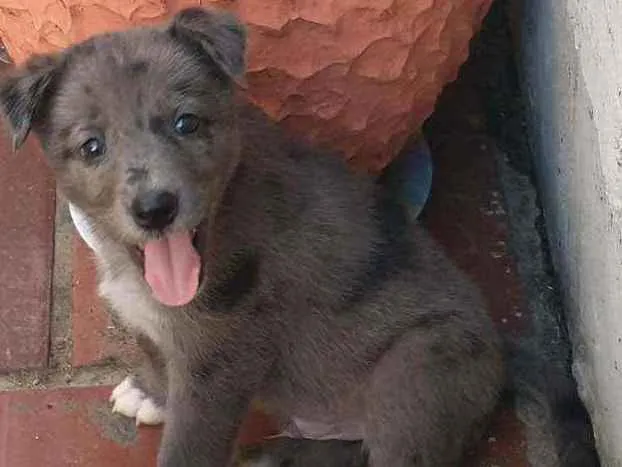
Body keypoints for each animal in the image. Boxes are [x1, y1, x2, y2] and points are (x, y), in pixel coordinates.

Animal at [0, 8, 508, 467]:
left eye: (186, 122)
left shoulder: (221, 358)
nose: (155, 209)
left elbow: (191, 446)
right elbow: (155, 350)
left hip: (417, 375)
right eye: (92, 146)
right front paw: (150, 393)